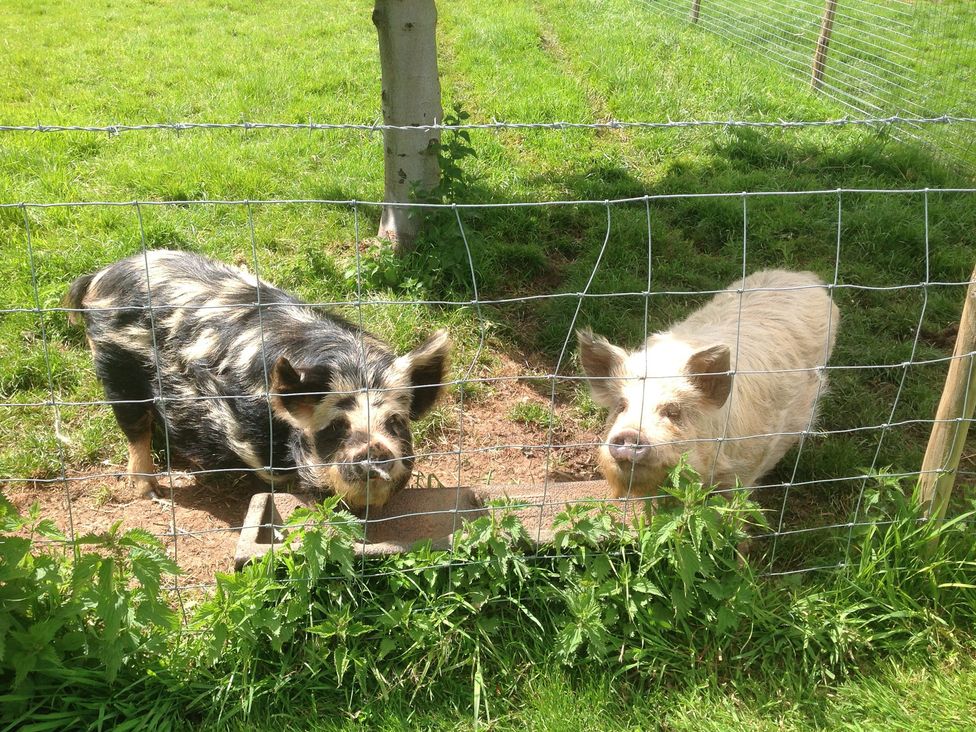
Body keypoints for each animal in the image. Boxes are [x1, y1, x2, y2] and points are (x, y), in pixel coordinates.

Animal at [65, 250, 451, 510]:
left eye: (396, 422)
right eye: (336, 427)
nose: (374, 449)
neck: (353, 367)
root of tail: (102, 274)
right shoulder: (246, 429)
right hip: (113, 362)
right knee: (134, 428)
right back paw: (153, 493)